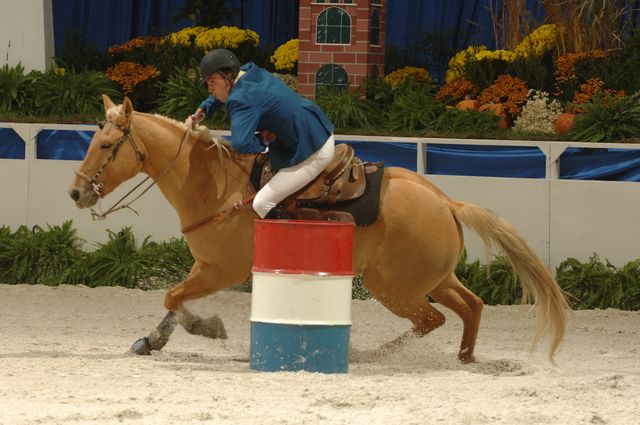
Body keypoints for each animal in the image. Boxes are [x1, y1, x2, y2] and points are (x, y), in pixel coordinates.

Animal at [70, 95, 568, 362]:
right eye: (93, 141)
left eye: (109, 145)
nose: (77, 193)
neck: (215, 185)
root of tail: (446, 201)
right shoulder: (204, 266)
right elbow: (173, 300)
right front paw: (152, 340)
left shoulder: (222, 270)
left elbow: (175, 298)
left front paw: (208, 328)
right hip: (433, 278)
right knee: (471, 307)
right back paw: (464, 359)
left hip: (392, 286)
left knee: (434, 319)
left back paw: (371, 354)